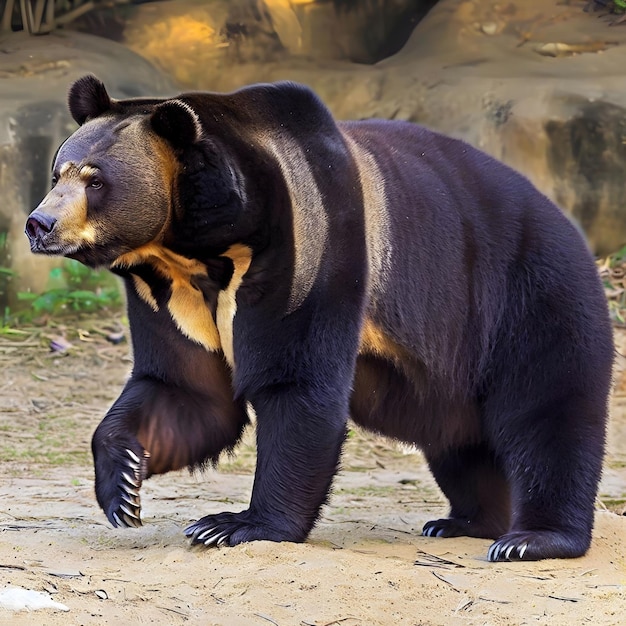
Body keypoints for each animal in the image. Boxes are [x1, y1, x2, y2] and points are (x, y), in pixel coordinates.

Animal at [24, 74, 608, 560]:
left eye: (95, 181)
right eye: (57, 173)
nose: (39, 224)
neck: (195, 248)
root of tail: (575, 232)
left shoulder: (308, 245)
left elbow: (297, 384)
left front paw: (234, 524)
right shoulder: (166, 292)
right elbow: (186, 389)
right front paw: (123, 485)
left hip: (525, 294)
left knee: (547, 413)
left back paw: (532, 537)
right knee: (462, 445)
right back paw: (466, 521)